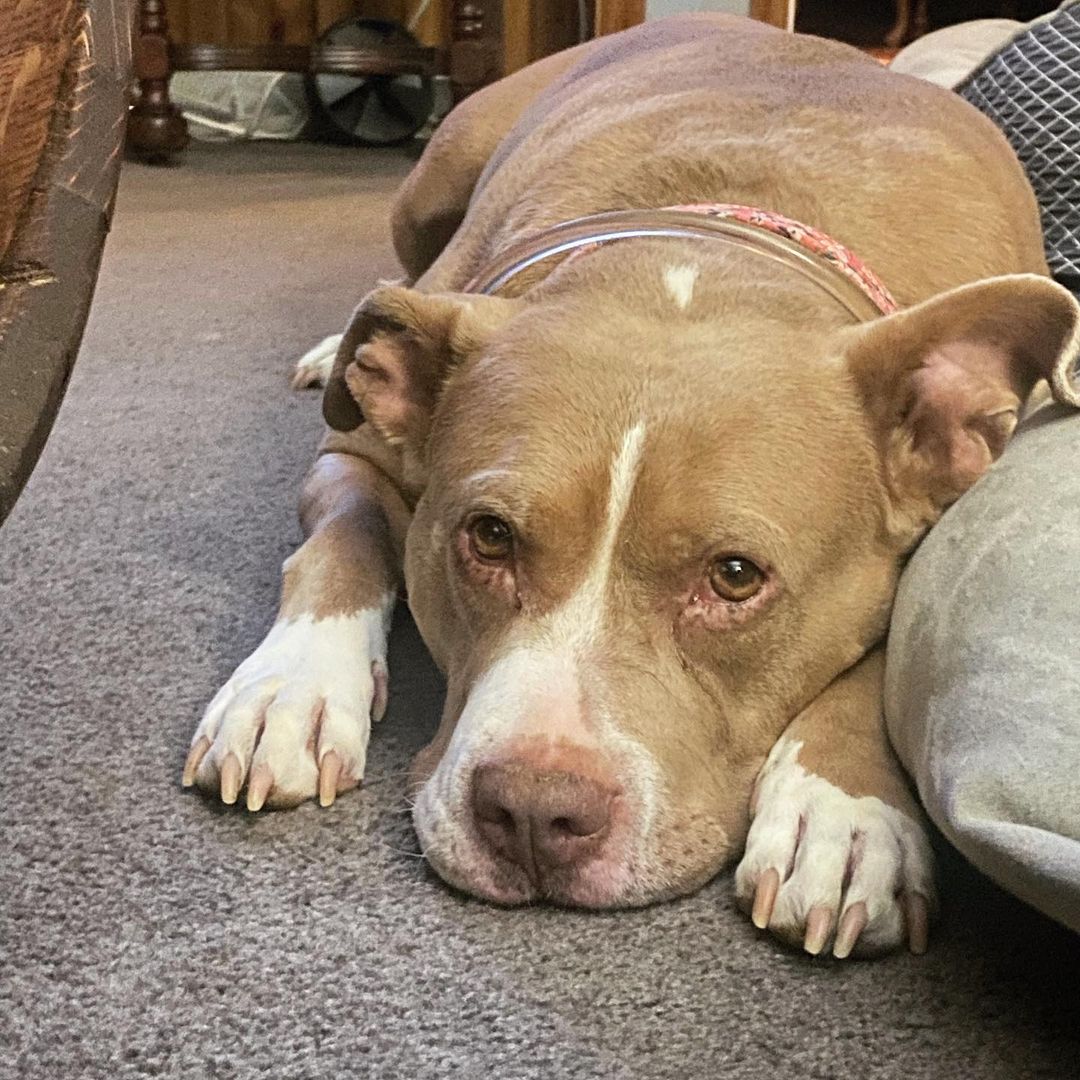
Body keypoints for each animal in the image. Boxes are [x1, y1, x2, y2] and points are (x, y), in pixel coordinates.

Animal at [181, 16, 1075, 959]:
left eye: (735, 577)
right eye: (488, 536)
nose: (534, 813)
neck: (700, 254)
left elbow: (888, 643)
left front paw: (841, 815)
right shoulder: (356, 455)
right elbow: (347, 537)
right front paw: (290, 689)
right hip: (434, 178)